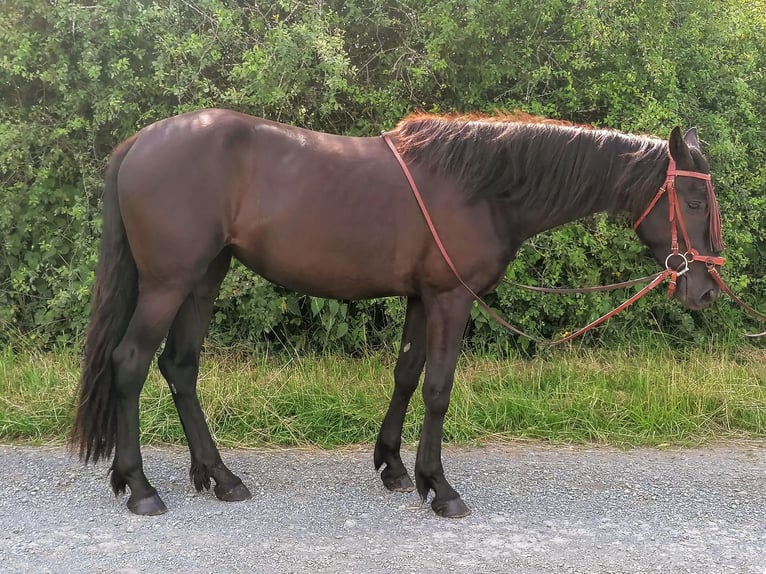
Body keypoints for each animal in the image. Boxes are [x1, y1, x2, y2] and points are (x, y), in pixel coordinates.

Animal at [70, 110, 728, 520]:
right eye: (695, 198)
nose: (705, 289)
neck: (484, 187)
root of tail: (138, 144)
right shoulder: (451, 298)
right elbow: (438, 388)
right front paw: (440, 487)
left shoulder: (421, 296)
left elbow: (407, 376)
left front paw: (392, 467)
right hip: (169, 282)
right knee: (131, 362)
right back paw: (140, 488)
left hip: (204, 278)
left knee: (180, 367)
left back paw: (220, 477)